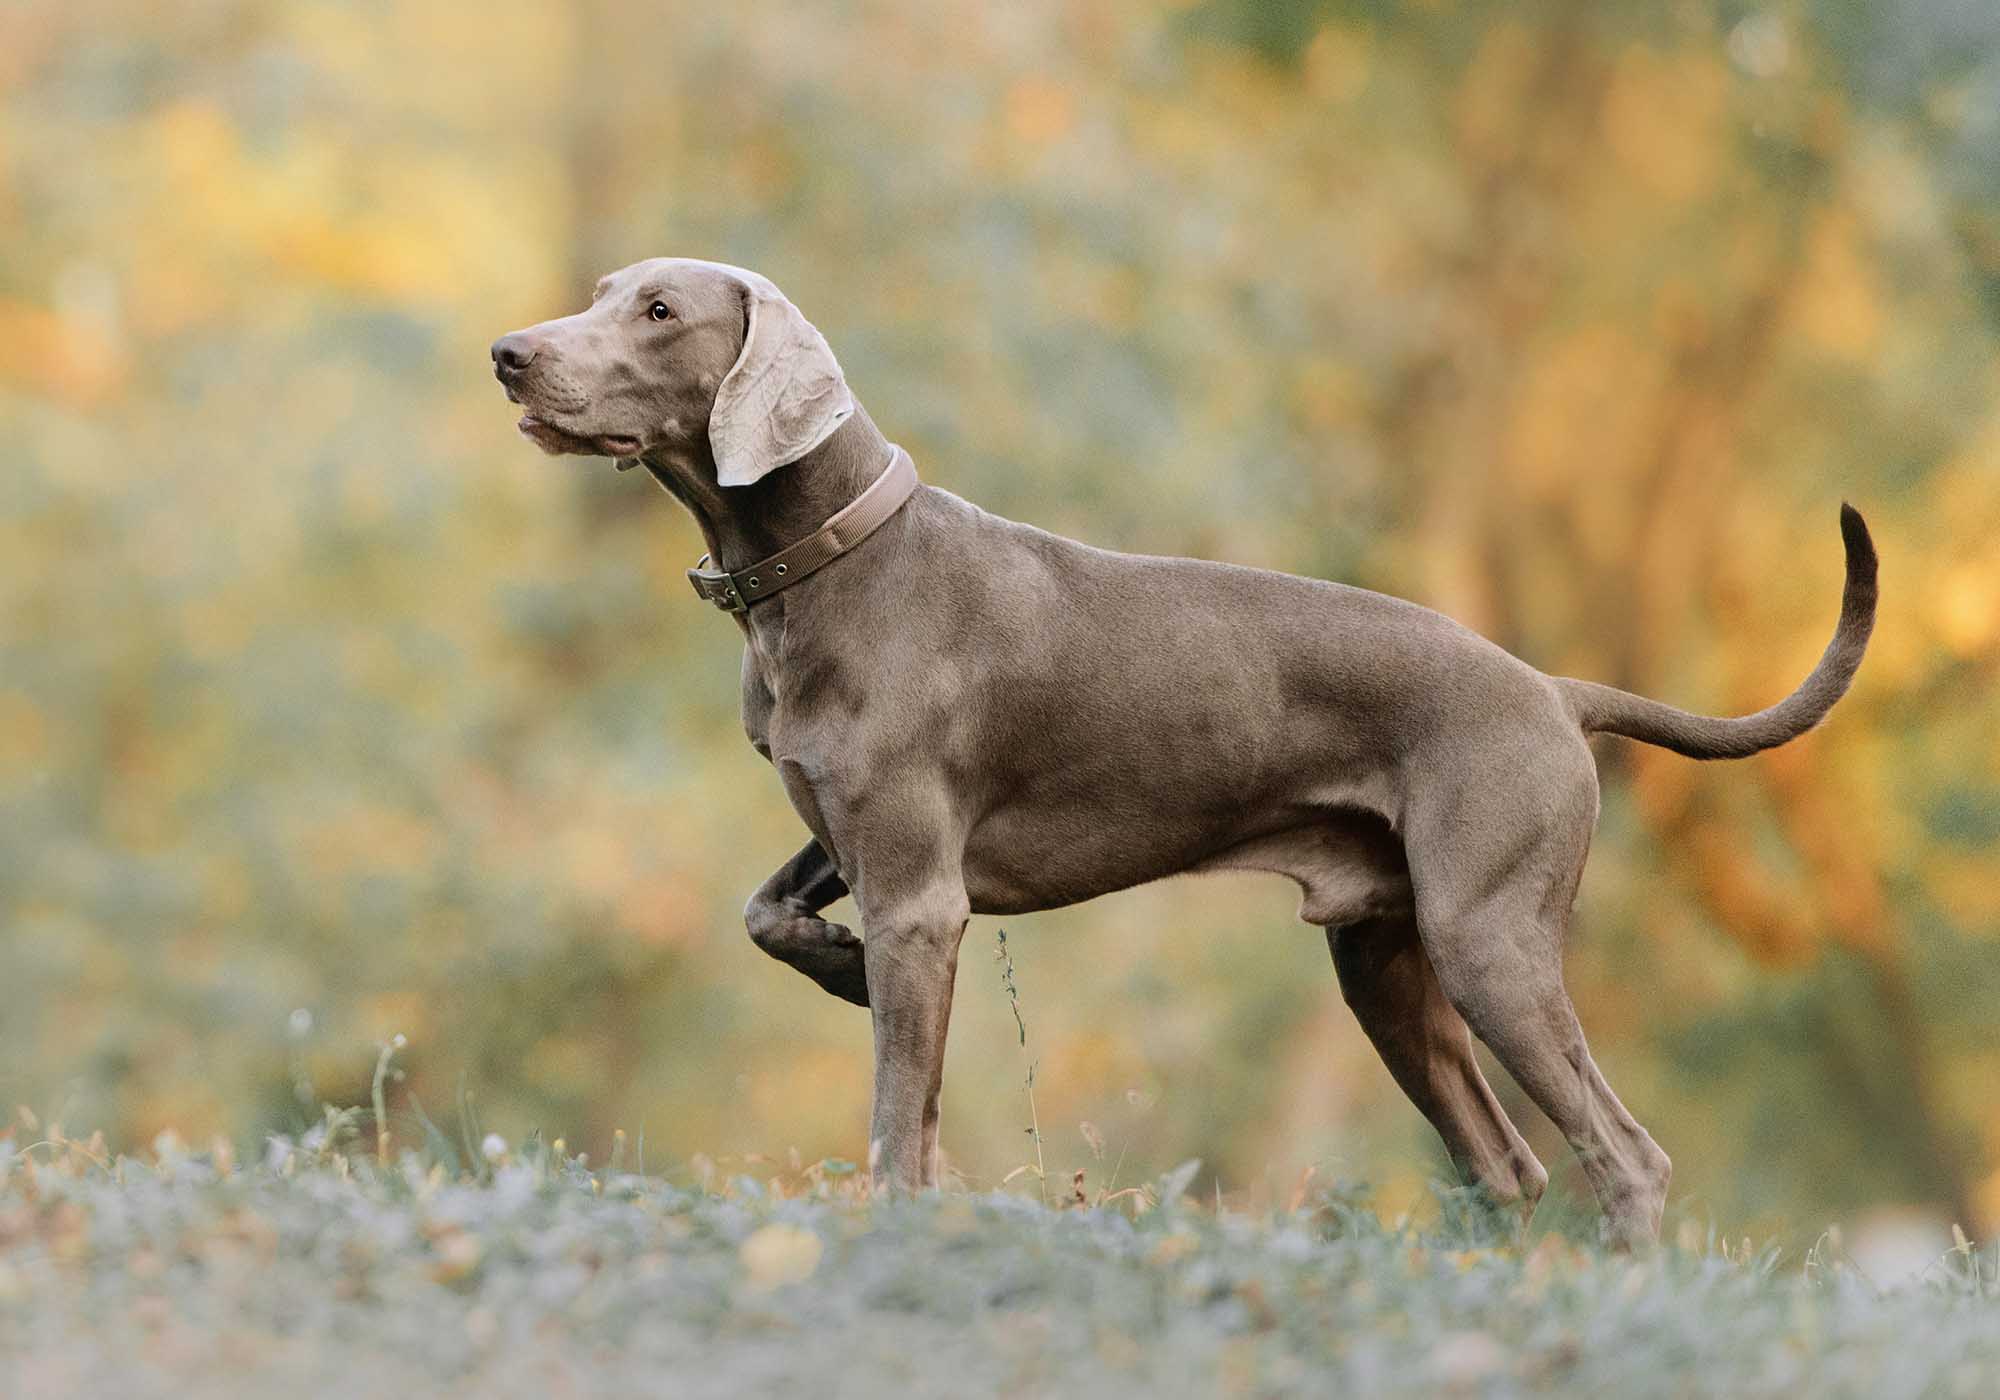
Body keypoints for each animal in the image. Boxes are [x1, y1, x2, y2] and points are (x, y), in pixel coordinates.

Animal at [496, 260, 1872, 1248]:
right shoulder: (846, 837)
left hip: (1487, 935)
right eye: (606, 289)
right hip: (1385, 959)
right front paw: (832, 968)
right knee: (1506, 1162)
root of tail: (1554, 688)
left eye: (658, 309)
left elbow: (897, 1113)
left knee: (1622, 1155)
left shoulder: (918, 894)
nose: (509, 354)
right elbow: (763, 912)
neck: (826, 560)